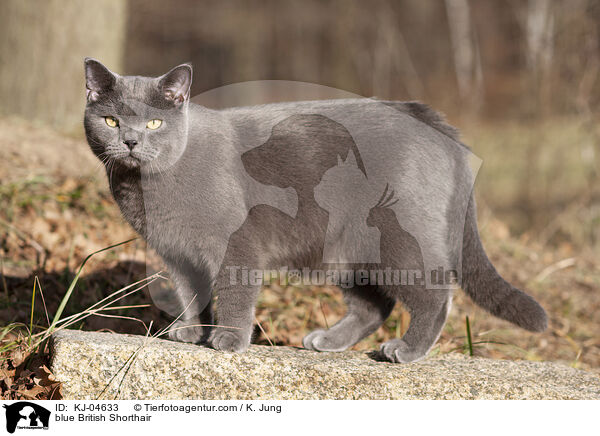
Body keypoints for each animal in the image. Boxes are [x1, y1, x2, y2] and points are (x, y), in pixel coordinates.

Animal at [84, 58, 548, 364]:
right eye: (111, 122)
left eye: (154, 123)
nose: (130, 142)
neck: (149, 186)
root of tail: (430, 118)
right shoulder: (177, 254)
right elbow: (189, 294)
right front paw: (191, 331)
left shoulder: (236, 244)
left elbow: (233, 291)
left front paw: (228, 339)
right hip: (348, 249)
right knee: (373, 306)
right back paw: (328, 341)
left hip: (396, 237)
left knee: (435, 294)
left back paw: (406, 349)